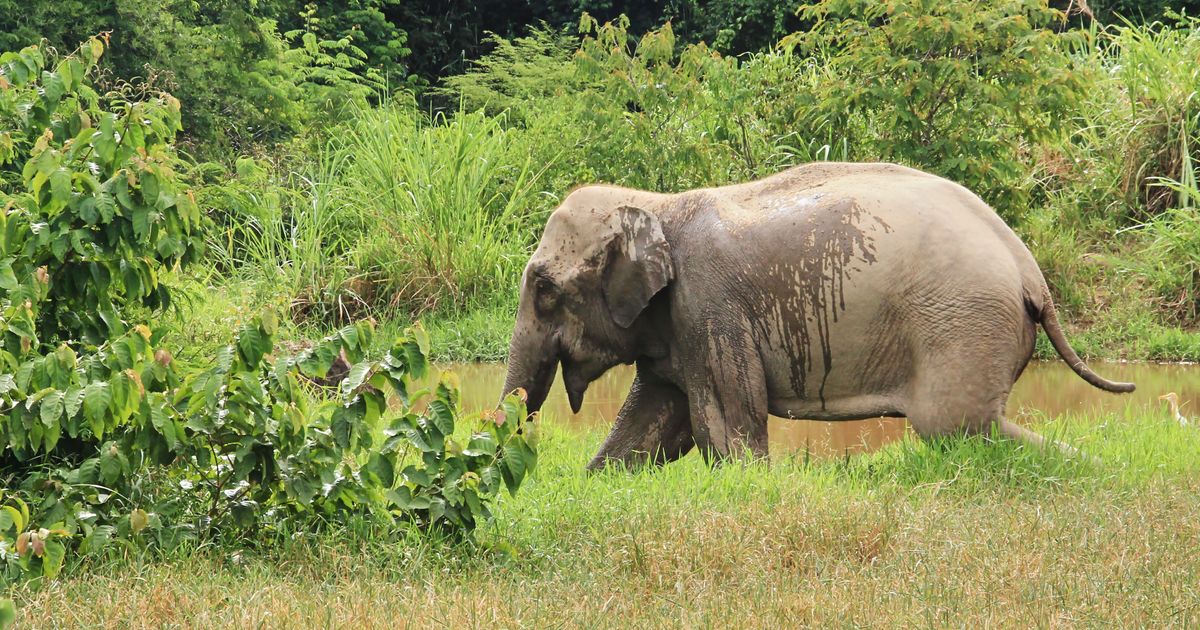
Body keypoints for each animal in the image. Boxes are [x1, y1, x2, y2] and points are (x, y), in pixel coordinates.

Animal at [501, 159, 1137, 468]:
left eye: (544, 289)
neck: (659, 205)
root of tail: (1033, 274)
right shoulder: (677, 327)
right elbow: (652, 424)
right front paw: (596, 480)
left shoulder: (709, 309)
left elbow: (725, 429)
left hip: (964, 323)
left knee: (957, 426)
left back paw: (1099, 470)